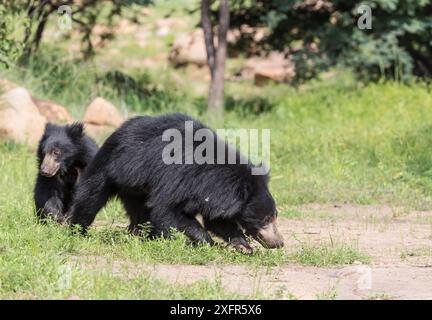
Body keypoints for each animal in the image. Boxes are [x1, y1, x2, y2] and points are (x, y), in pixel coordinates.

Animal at [68, 114, 284, 254]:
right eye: (265, 219)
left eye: (274, 215)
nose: (279, 243)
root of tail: (118, 130)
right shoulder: (176, 176)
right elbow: (167, 209)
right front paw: (209, 243)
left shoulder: (213, 196)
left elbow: (217, 221)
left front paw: (243, 246)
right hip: (110, 167)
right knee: (90, 198)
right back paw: (77, 231)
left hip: (135, 189)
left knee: (140, 213)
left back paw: (145, 236)